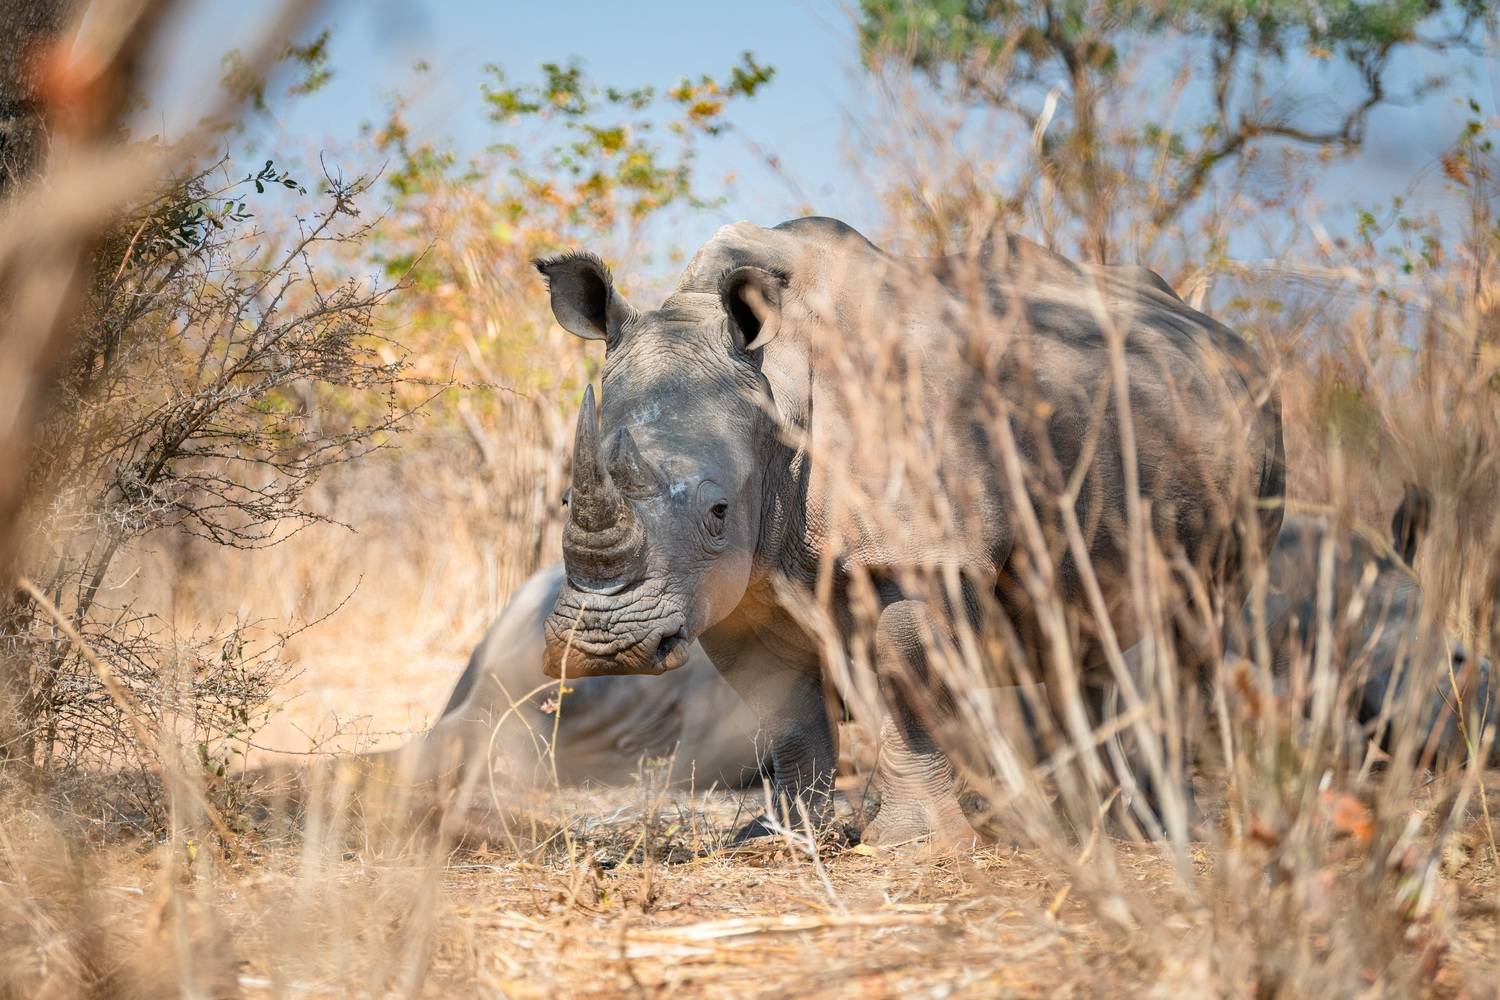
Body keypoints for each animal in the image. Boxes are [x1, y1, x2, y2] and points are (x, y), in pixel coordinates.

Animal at [534, 217, 1284, 847]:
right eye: (566, 497)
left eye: (718, 511)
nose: (603, 647)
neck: (780, 387)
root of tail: (1224, 337)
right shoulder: (739, 583)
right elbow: (783, 707)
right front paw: (777, 839)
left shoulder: (927, 551)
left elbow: (907, 672)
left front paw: (917, 845)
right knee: (1092, 629)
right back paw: (1093, 826)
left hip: (1251, 441)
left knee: (1193, 626)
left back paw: (1164, 834)